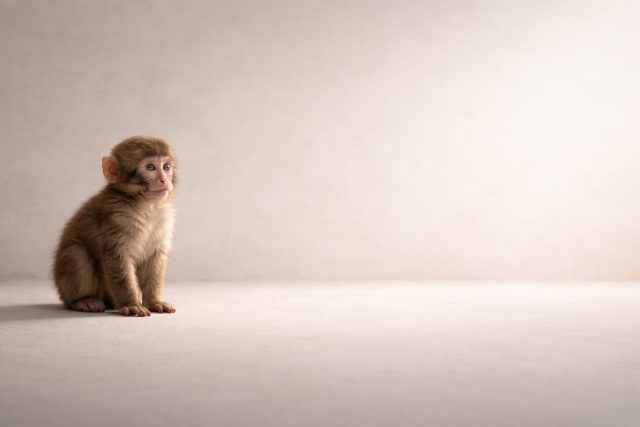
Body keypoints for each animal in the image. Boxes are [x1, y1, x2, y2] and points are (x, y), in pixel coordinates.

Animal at [53, 135, 177, 317]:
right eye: (150, 167)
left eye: (166, 167)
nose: (164, 180)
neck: (145, 205)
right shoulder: (117, 218)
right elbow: (117, 258)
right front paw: (131, 304)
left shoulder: (163, 220)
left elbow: (155, 258)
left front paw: (155, 302)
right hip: (67, 286)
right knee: (76, 253)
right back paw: (83, 300)